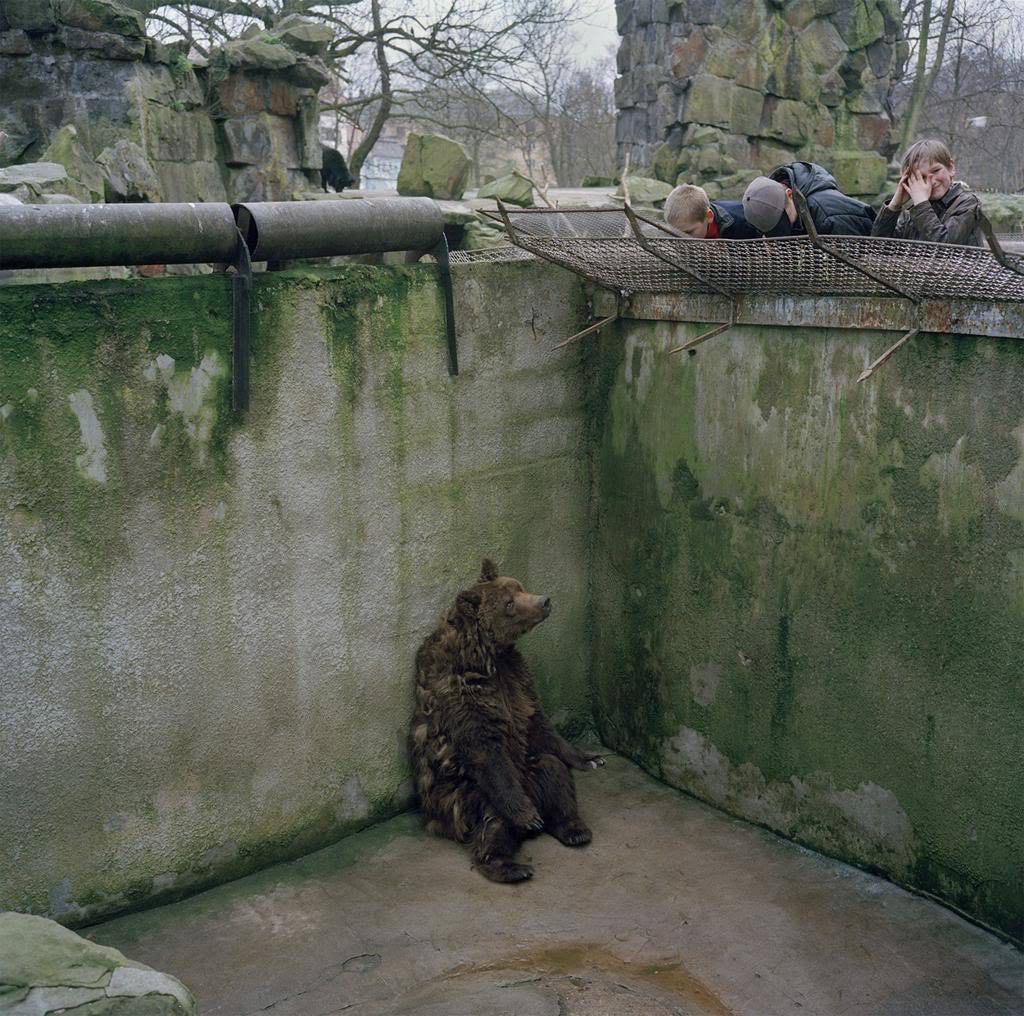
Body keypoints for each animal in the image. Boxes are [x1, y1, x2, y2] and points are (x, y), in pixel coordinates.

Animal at [409, 559, 604, 883]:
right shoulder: (464, 696)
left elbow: (539, 724)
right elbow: (484, 749)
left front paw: (591, 758)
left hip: (528, 772)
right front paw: (525, 816)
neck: (489, 656)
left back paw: (572, 828)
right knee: (493, 820)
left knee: (553, 772)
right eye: (509, 603)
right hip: (464, 801)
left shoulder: (517, 680)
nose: (544, 601)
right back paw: (512, 861)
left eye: (519, 586)